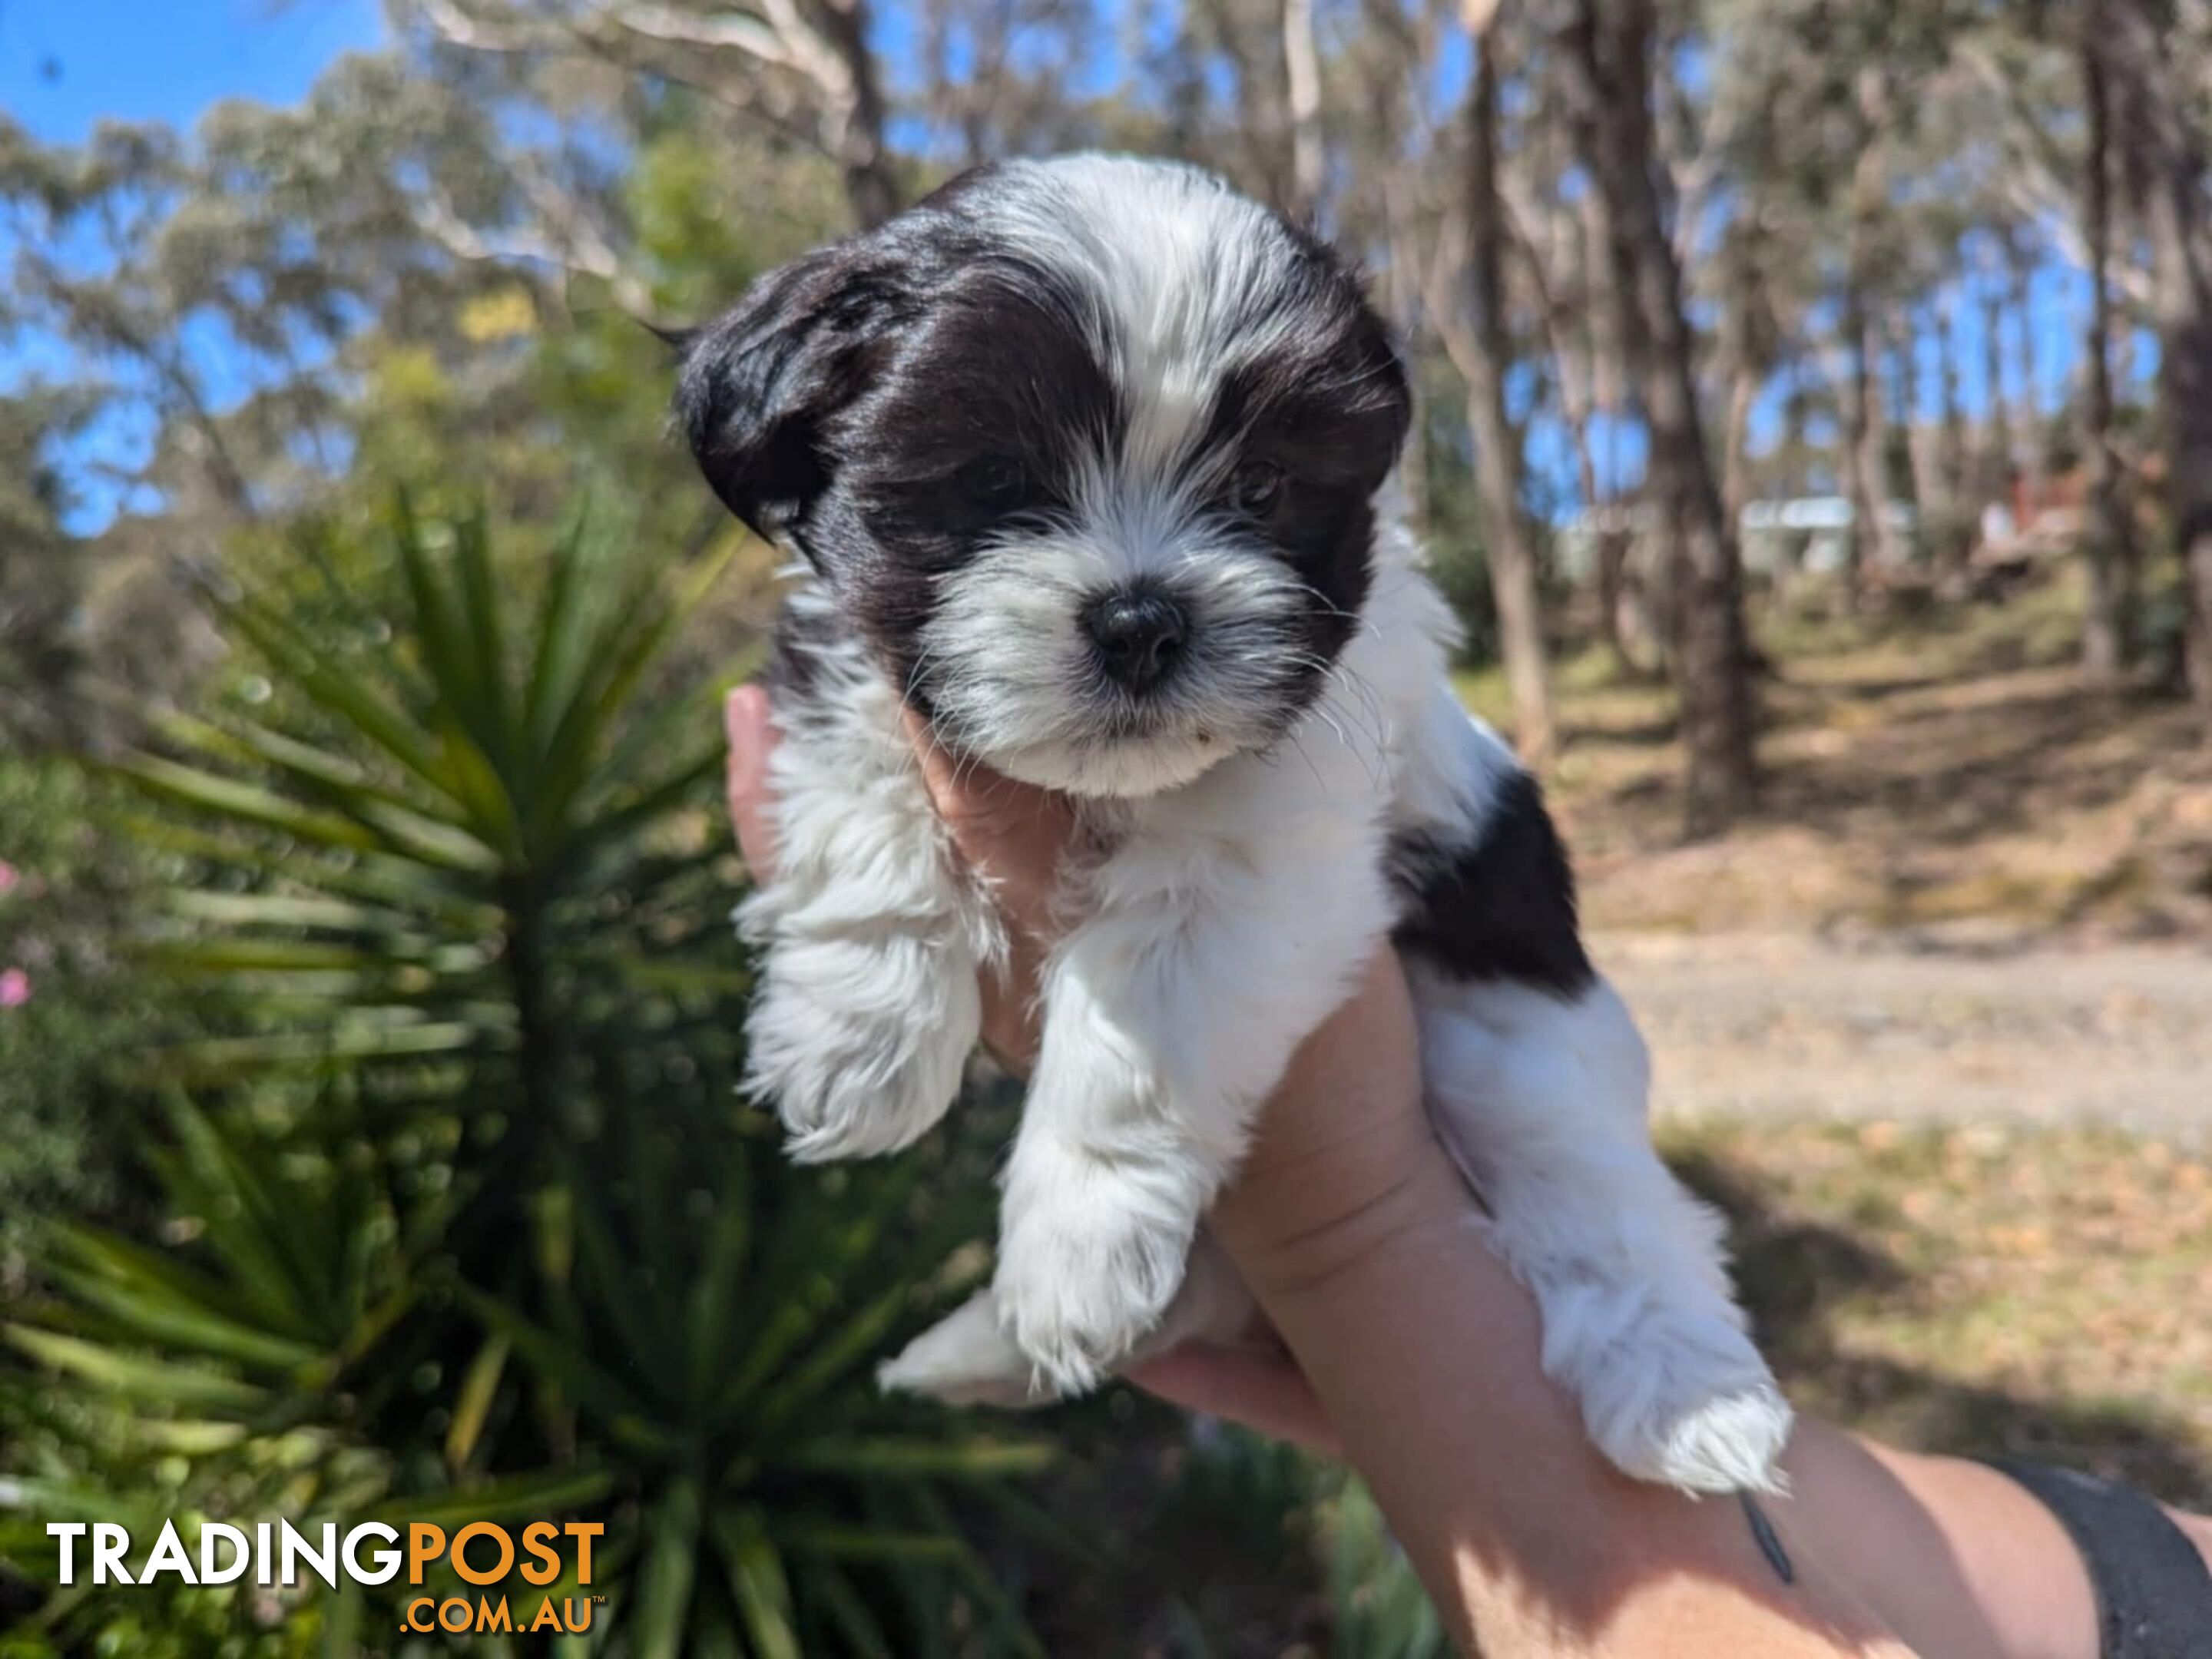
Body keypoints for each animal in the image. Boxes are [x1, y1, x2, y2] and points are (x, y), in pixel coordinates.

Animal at [677, 156, 1796, 1504]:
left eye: (1260, 490)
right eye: (996, 482)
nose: (1143, 619)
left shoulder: (1272, 840)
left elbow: (1140, 1030)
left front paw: (1076, 1244)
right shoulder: (860, 663)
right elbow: (861, 798)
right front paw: (856, 1035)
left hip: (1527, 1051)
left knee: (1608, 1203)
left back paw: (1688, 1394)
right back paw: (978, 1351)